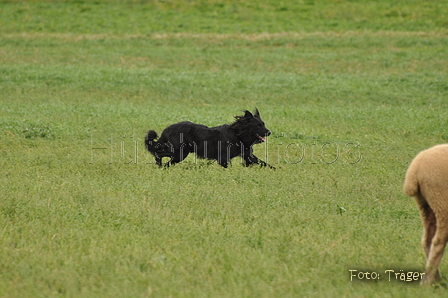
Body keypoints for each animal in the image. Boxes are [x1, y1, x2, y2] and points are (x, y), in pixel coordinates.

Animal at [145, 109, 274, 169]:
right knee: (159, 153)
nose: (269, 132)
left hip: (179, 154)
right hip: (179, 152)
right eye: (258, 126)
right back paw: (159, 164)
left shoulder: (248, 155)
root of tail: (166, 130)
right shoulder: (223, 158)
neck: (238, 135)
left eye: (263, 124)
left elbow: (263, 163)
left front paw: (275, 170)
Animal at [404, 144, 448, 284]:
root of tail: (415, 171)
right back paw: (427, 282)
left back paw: (434, 278)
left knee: (427, 239)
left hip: (426, 204)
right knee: (438, 241)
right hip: (442, 203)